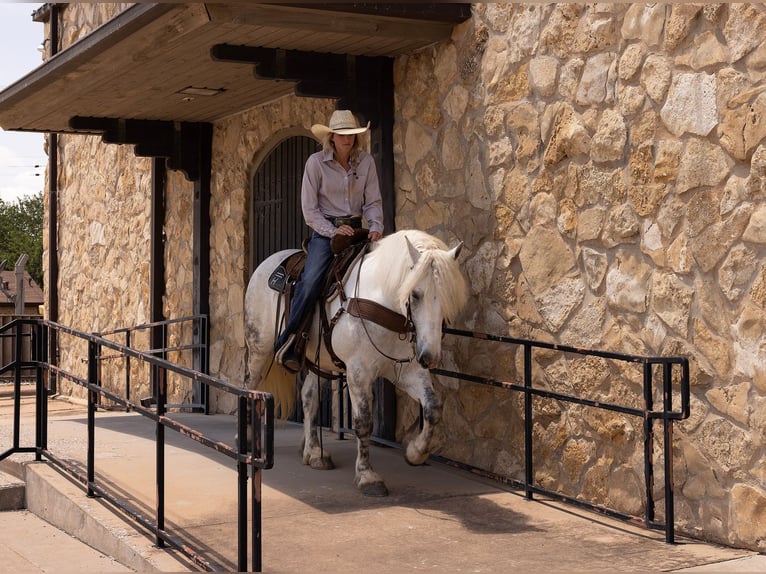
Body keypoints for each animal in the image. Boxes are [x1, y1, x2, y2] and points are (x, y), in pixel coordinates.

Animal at [246, 232, 468, 498]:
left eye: (449, 296)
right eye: (415, 294)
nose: (430, 357)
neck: (380, 301)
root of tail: (269, 262)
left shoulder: (408, 371)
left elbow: (433, 407)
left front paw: (415, 452)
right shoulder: (358, 372)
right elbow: (363, 422)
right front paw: (367, 476)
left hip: (322, 361)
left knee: (309, 396)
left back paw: (314, 452)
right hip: (259, 347)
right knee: (249, 385)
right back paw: (246, 439)